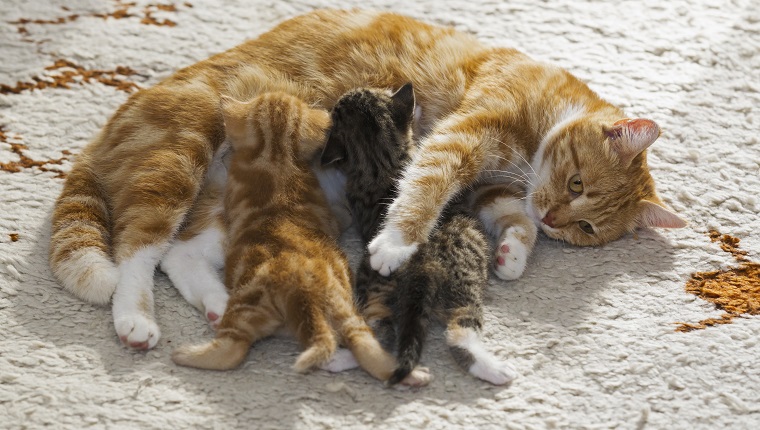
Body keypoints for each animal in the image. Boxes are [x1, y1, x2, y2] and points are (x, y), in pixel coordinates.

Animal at [50, 9, 684, 350]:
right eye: (578, 185)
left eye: (586, 230)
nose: (556, 218)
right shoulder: (464, 133)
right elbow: (424, 187)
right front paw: (394, 244)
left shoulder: (494, 187)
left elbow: (512, 218)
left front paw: (512, 255)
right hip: (181, 156)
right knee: (139, 250)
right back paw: (135, 318)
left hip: (231, 203)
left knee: (180, 254)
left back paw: (218, 304)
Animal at [320, 84, 516, 386]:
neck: (379, 160)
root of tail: (425, 267)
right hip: (461, 289)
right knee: (455, 332)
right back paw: (494, 369)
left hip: (380, 289)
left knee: (381, 331)